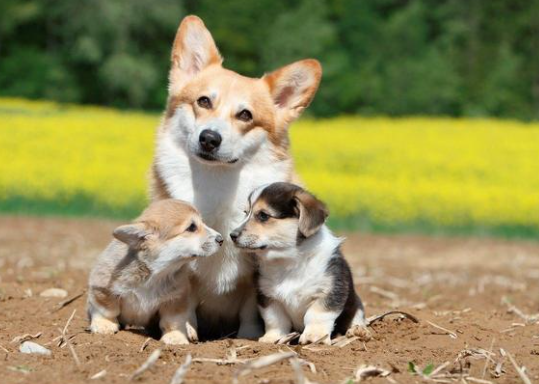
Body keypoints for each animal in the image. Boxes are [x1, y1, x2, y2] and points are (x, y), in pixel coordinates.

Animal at [87, 200, 223, 344]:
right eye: (191, 227)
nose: (221, 239)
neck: (156, 272)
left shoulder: (175, 299)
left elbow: (173, 321)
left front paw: (175, 337)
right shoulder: (102, 286)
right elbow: (107, 309)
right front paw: (104, 325)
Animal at [150, 15, 322, 340]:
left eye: (245, 115)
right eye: (204, 101)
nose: (209, 139)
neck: (218, 182)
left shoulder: (255, 274)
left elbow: (251, 311)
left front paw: (248, 338)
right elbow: (182, 304)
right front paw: (184, 335)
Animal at [230, 183, 370, 344]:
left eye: (263, 215)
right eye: (246, 212)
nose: (232, 235)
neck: (288, 260)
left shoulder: (331, 291)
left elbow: (316, 314)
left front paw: (314, 336)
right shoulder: (267, 297)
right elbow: (275, 319)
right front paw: (272, 338)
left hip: (355, 303)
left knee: (356, 317)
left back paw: (358, 331)